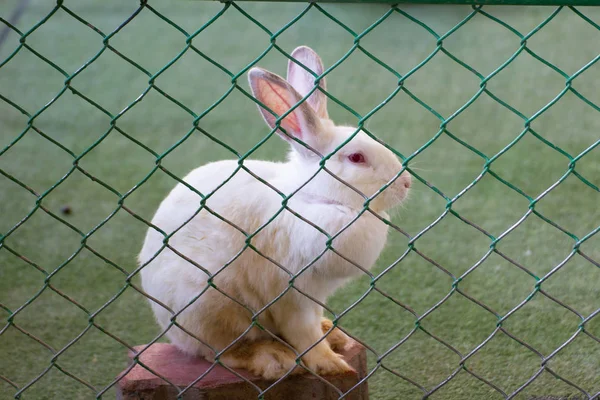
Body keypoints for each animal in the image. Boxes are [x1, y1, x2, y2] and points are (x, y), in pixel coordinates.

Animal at [139, 45, 412, 380]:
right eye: (356, 158)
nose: (406, 183)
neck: (316, 199)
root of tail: (172, 331)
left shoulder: (316, 295)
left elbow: (312, 324)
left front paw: (332, 342)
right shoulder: (292, 293)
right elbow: (304, 334)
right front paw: (332, 366)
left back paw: (331, 332)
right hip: (211, 305)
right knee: (221, 352)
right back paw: (274, 358)